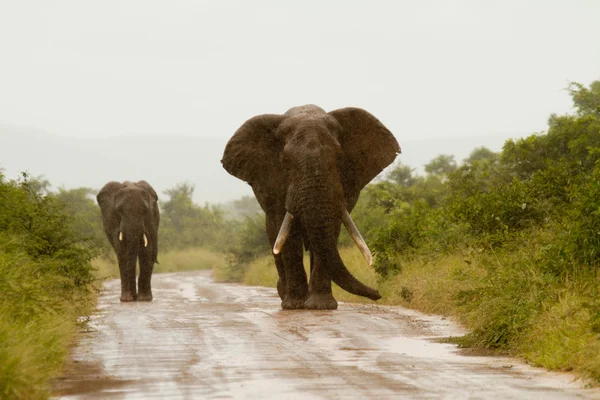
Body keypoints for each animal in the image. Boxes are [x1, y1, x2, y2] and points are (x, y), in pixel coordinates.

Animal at [223, 105, 400, 310]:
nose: (378, 294)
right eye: (285, 160)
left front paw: (321, 306)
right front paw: (294, 305)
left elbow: (332, 228)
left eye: (339, 157)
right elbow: (288, 234)